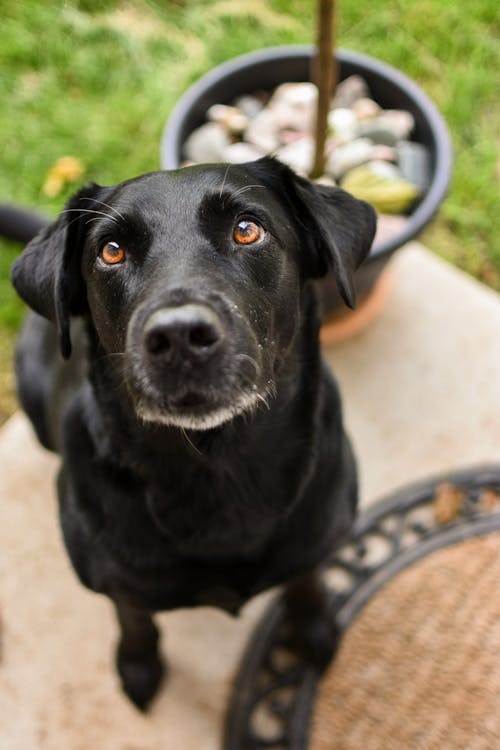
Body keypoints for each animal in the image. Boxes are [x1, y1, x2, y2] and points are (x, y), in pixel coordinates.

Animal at [11, 159, 376, 712]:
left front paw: (311, 629)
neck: (218, 465)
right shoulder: (116, 583)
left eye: (247, 229)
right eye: (110, 251)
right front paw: (138, 666)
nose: (179, 335)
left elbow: (305, 578)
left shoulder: (319, 532)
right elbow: (134, 618)